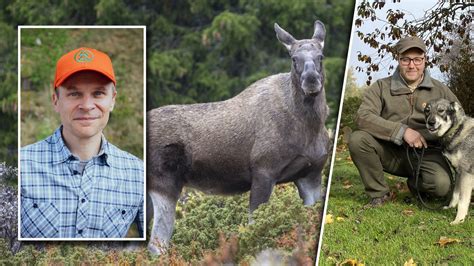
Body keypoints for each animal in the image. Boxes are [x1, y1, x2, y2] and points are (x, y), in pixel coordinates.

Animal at [147, 20, 330, 254]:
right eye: (293, 58)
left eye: (321, 56)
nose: (311, 80)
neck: (309, 126)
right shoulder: (263, 170)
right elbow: (255, 227)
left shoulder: (311, 174)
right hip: (165, 183)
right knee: (156, 244)